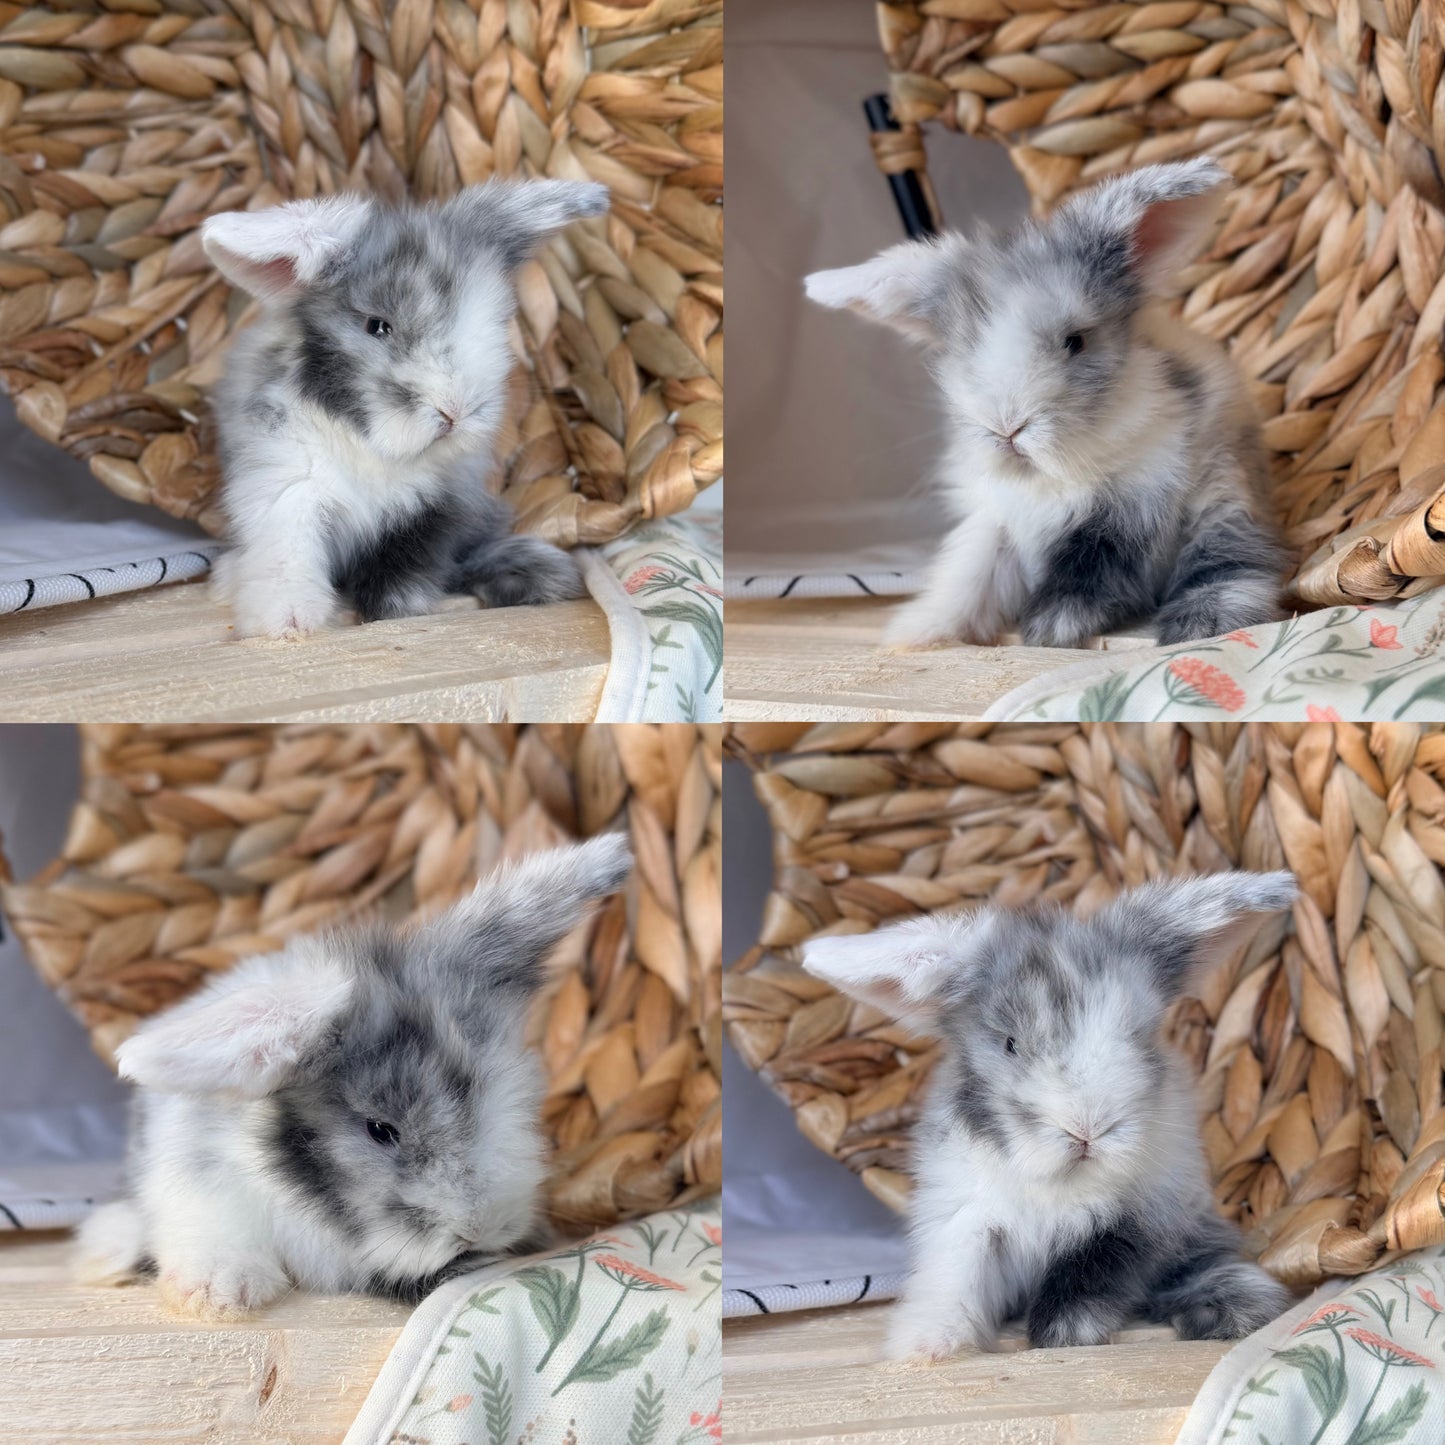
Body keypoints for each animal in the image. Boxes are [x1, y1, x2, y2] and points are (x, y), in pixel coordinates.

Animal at [201, 178, 609, 639]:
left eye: (495, 321)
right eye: (377, 326)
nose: (455, 412)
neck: (372, 445)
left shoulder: (431, 516)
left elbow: (402, 570)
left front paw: (398, 611)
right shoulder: (287, 489)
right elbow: (289, 557)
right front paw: (288, 624)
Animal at [802, 870, 1297, 1360]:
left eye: (1139, 1034)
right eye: (1010, 1044)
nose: (1088, 1129)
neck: (1059, 1182)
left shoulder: (1132, 1227)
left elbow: (1087, 1276)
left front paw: (1064, 1334)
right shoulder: (970, 1221)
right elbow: (958, 1276)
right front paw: (928, 1346)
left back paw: (1235, 1308)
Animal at [805, 159, 1286, 650]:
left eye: (1075, 341)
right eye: (961, 350)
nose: (1006, 428)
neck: (1051, 473)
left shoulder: (1127, 514)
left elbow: (1089, 573)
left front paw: (1051, 628)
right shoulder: (997, 523)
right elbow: (971, 575)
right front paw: (918, 631)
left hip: (1222, 501)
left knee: (1229, 560)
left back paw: (1202, 624)